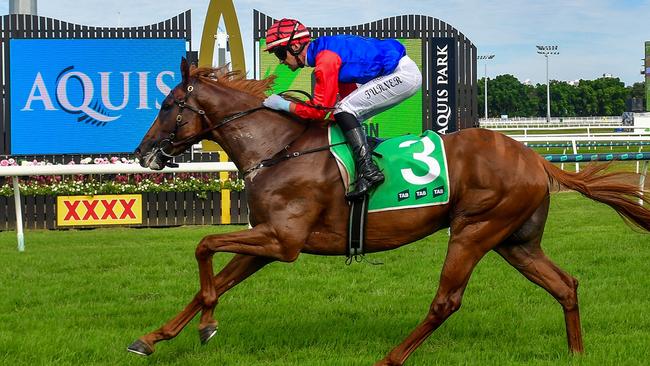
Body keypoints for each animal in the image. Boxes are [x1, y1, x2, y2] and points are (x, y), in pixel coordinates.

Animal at [129, 58, 644, 364]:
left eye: (169, 104)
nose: (143, 152)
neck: (278, 149)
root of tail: (537, 158)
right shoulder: (268, 239)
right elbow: (214, 281)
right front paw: (153, 337)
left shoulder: (283, 240)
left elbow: (203, 245)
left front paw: (207, 326)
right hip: (515, 240)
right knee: (565, 285)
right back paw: (576, 353)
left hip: (475, 230)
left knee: (446, 301)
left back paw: (391, 358)